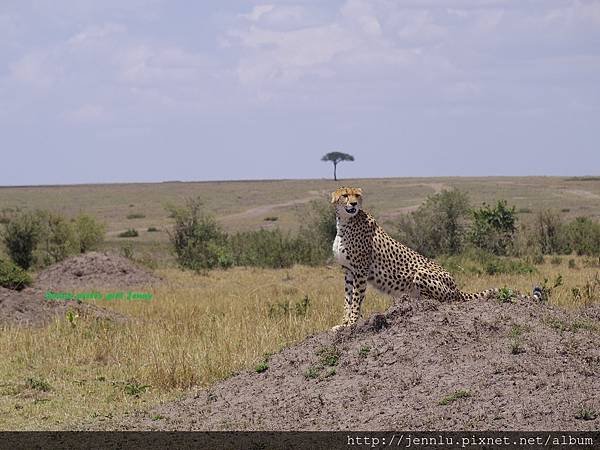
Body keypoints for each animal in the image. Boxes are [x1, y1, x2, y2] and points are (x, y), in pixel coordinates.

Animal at [330, 186, 500, 326]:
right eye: (345, 195)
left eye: (357, 195)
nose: (353, 204)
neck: (344, 223)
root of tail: (457, 288)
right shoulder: (349, 271)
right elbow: (348, 298)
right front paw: (343, 323)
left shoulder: (361, 271)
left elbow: (356, 299)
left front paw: (351, 323)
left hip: (420, 273)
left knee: (443, 300)